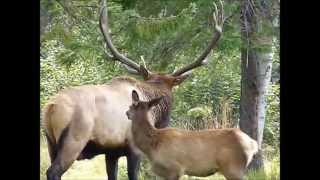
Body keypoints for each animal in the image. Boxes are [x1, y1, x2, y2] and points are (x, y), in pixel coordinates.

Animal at [42, 0, 228, 180]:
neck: (154, 115)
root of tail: (51, 107)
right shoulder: (134, 148)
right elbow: (133, 175)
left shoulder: (112, 152)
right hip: (74, 138)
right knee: (53, 172)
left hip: (50, 142)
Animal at [126, 90, 258, 180]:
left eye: (131, 106)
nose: (127, 113)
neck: (153, 145)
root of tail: (253, 144)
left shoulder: (174, 168)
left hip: (233, 167)